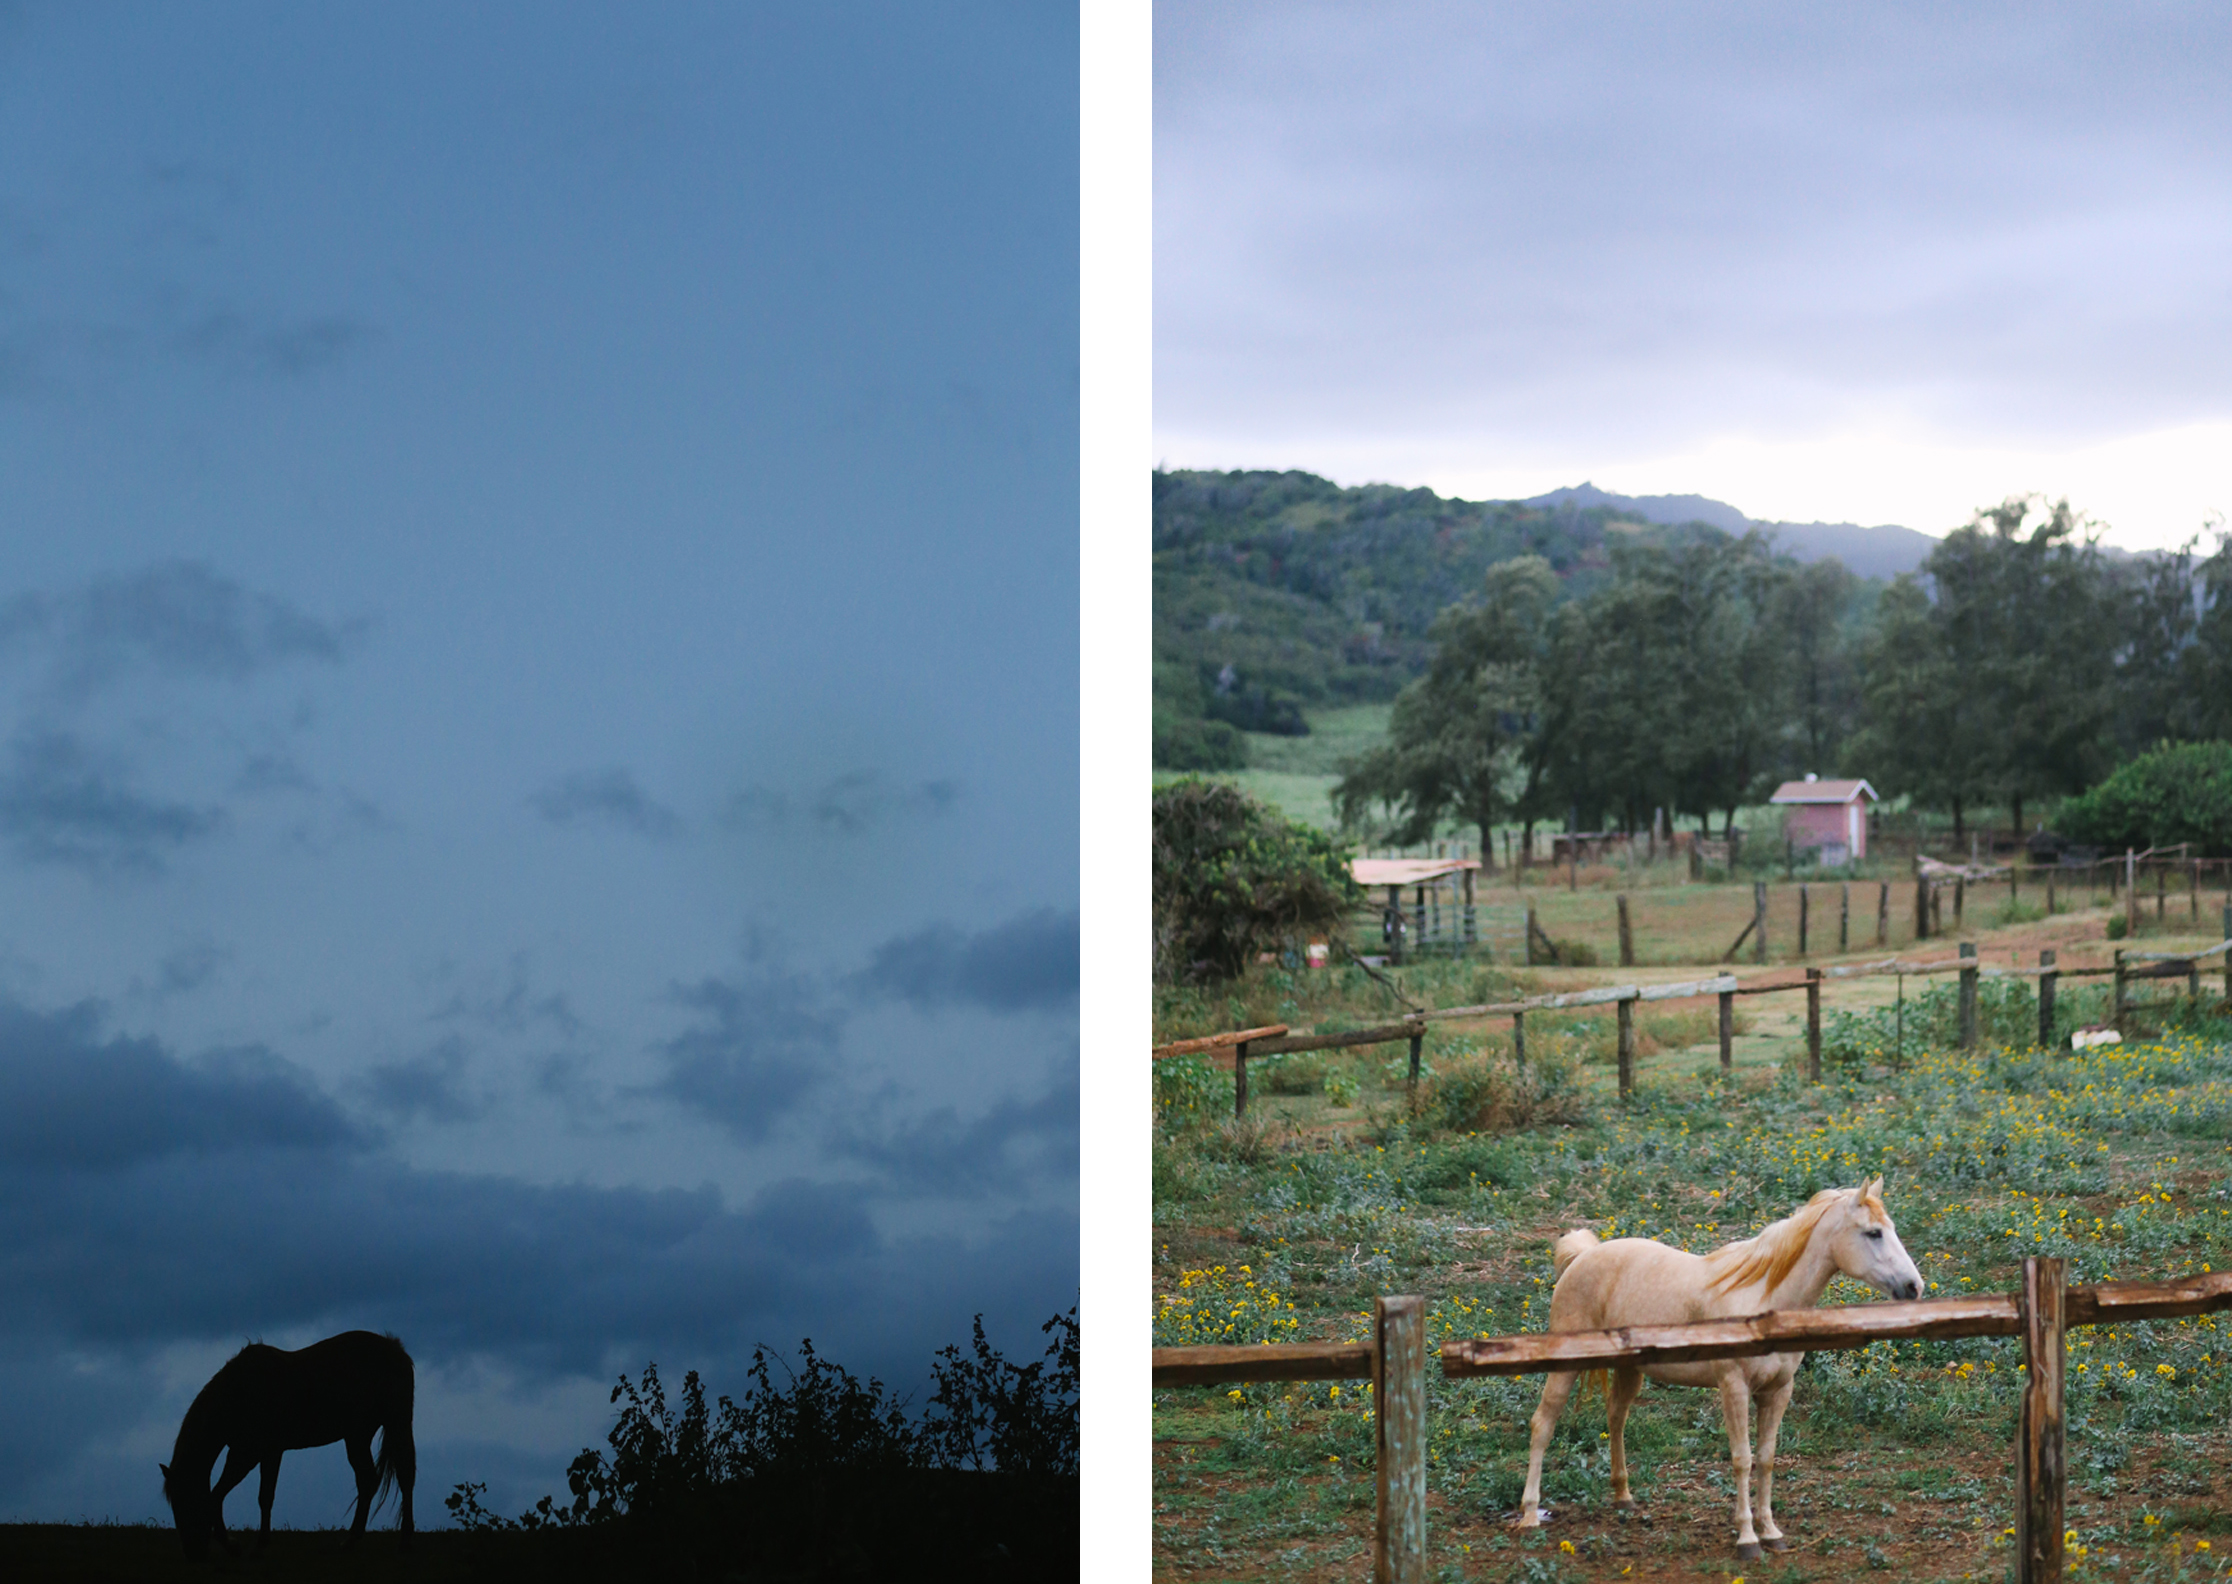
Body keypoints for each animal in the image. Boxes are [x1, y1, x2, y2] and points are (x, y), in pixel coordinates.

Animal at [162, 1329, 419, 1561]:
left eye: (184, 1500)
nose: (192, 1552)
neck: (240, 1393)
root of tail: (396, 1350)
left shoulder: (248, 1453)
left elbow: (224, 1495)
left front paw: (237, 1546)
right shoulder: (265, 1452)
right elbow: (261, 1496)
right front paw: (254, 1545)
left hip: (395, 1425)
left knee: (403, 1477)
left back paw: (405, 1542)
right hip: (359, 1436)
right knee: (369, 1481)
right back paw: (350, 1541)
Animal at [1508, 1177, 1928, 1561]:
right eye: (1873, 1233)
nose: (1914, 1287)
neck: (1763, 1299)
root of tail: (1583, 1257)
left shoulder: (1778, 1391)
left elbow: (1767, 1458)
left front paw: (1771, 1532)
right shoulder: (1734, 1388)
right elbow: (1742, 1459)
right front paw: (1747, 1539)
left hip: (1629, 1369)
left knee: (1616, 1417)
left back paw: (1623, 1497)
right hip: (1565, 1367)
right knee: (1543, 1423)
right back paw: (1529, 1515)